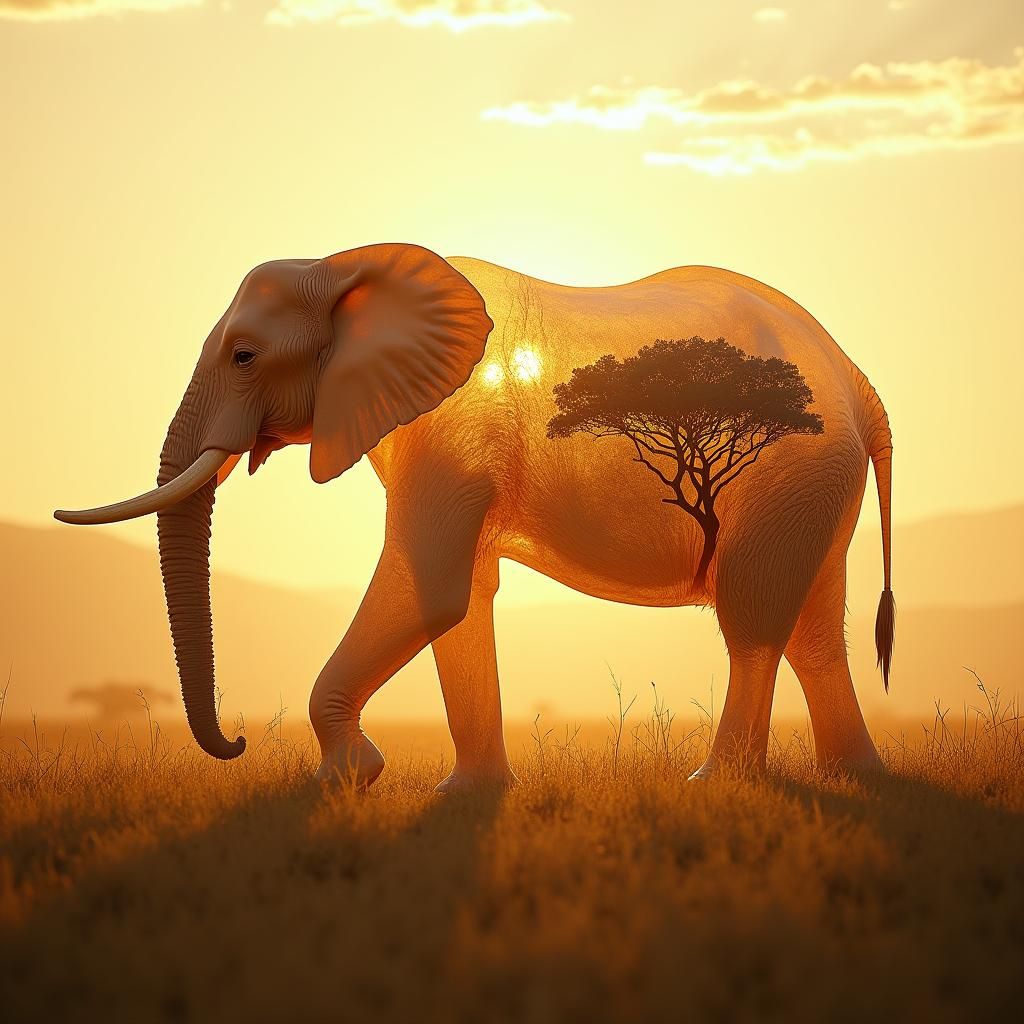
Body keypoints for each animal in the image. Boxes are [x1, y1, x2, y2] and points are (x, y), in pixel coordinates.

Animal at [55, 243, 894, 789]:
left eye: (243, 355)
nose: (232, 742)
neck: (351, 262)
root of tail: (859, 380)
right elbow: (462, 599)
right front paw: (470, 794)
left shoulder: (452, 430)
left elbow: (430, 587)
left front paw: (348, 778)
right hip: (816, 486)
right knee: (815, 634)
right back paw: (854, 774)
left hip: (790, 469)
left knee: (754, 623)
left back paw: (715, 782)